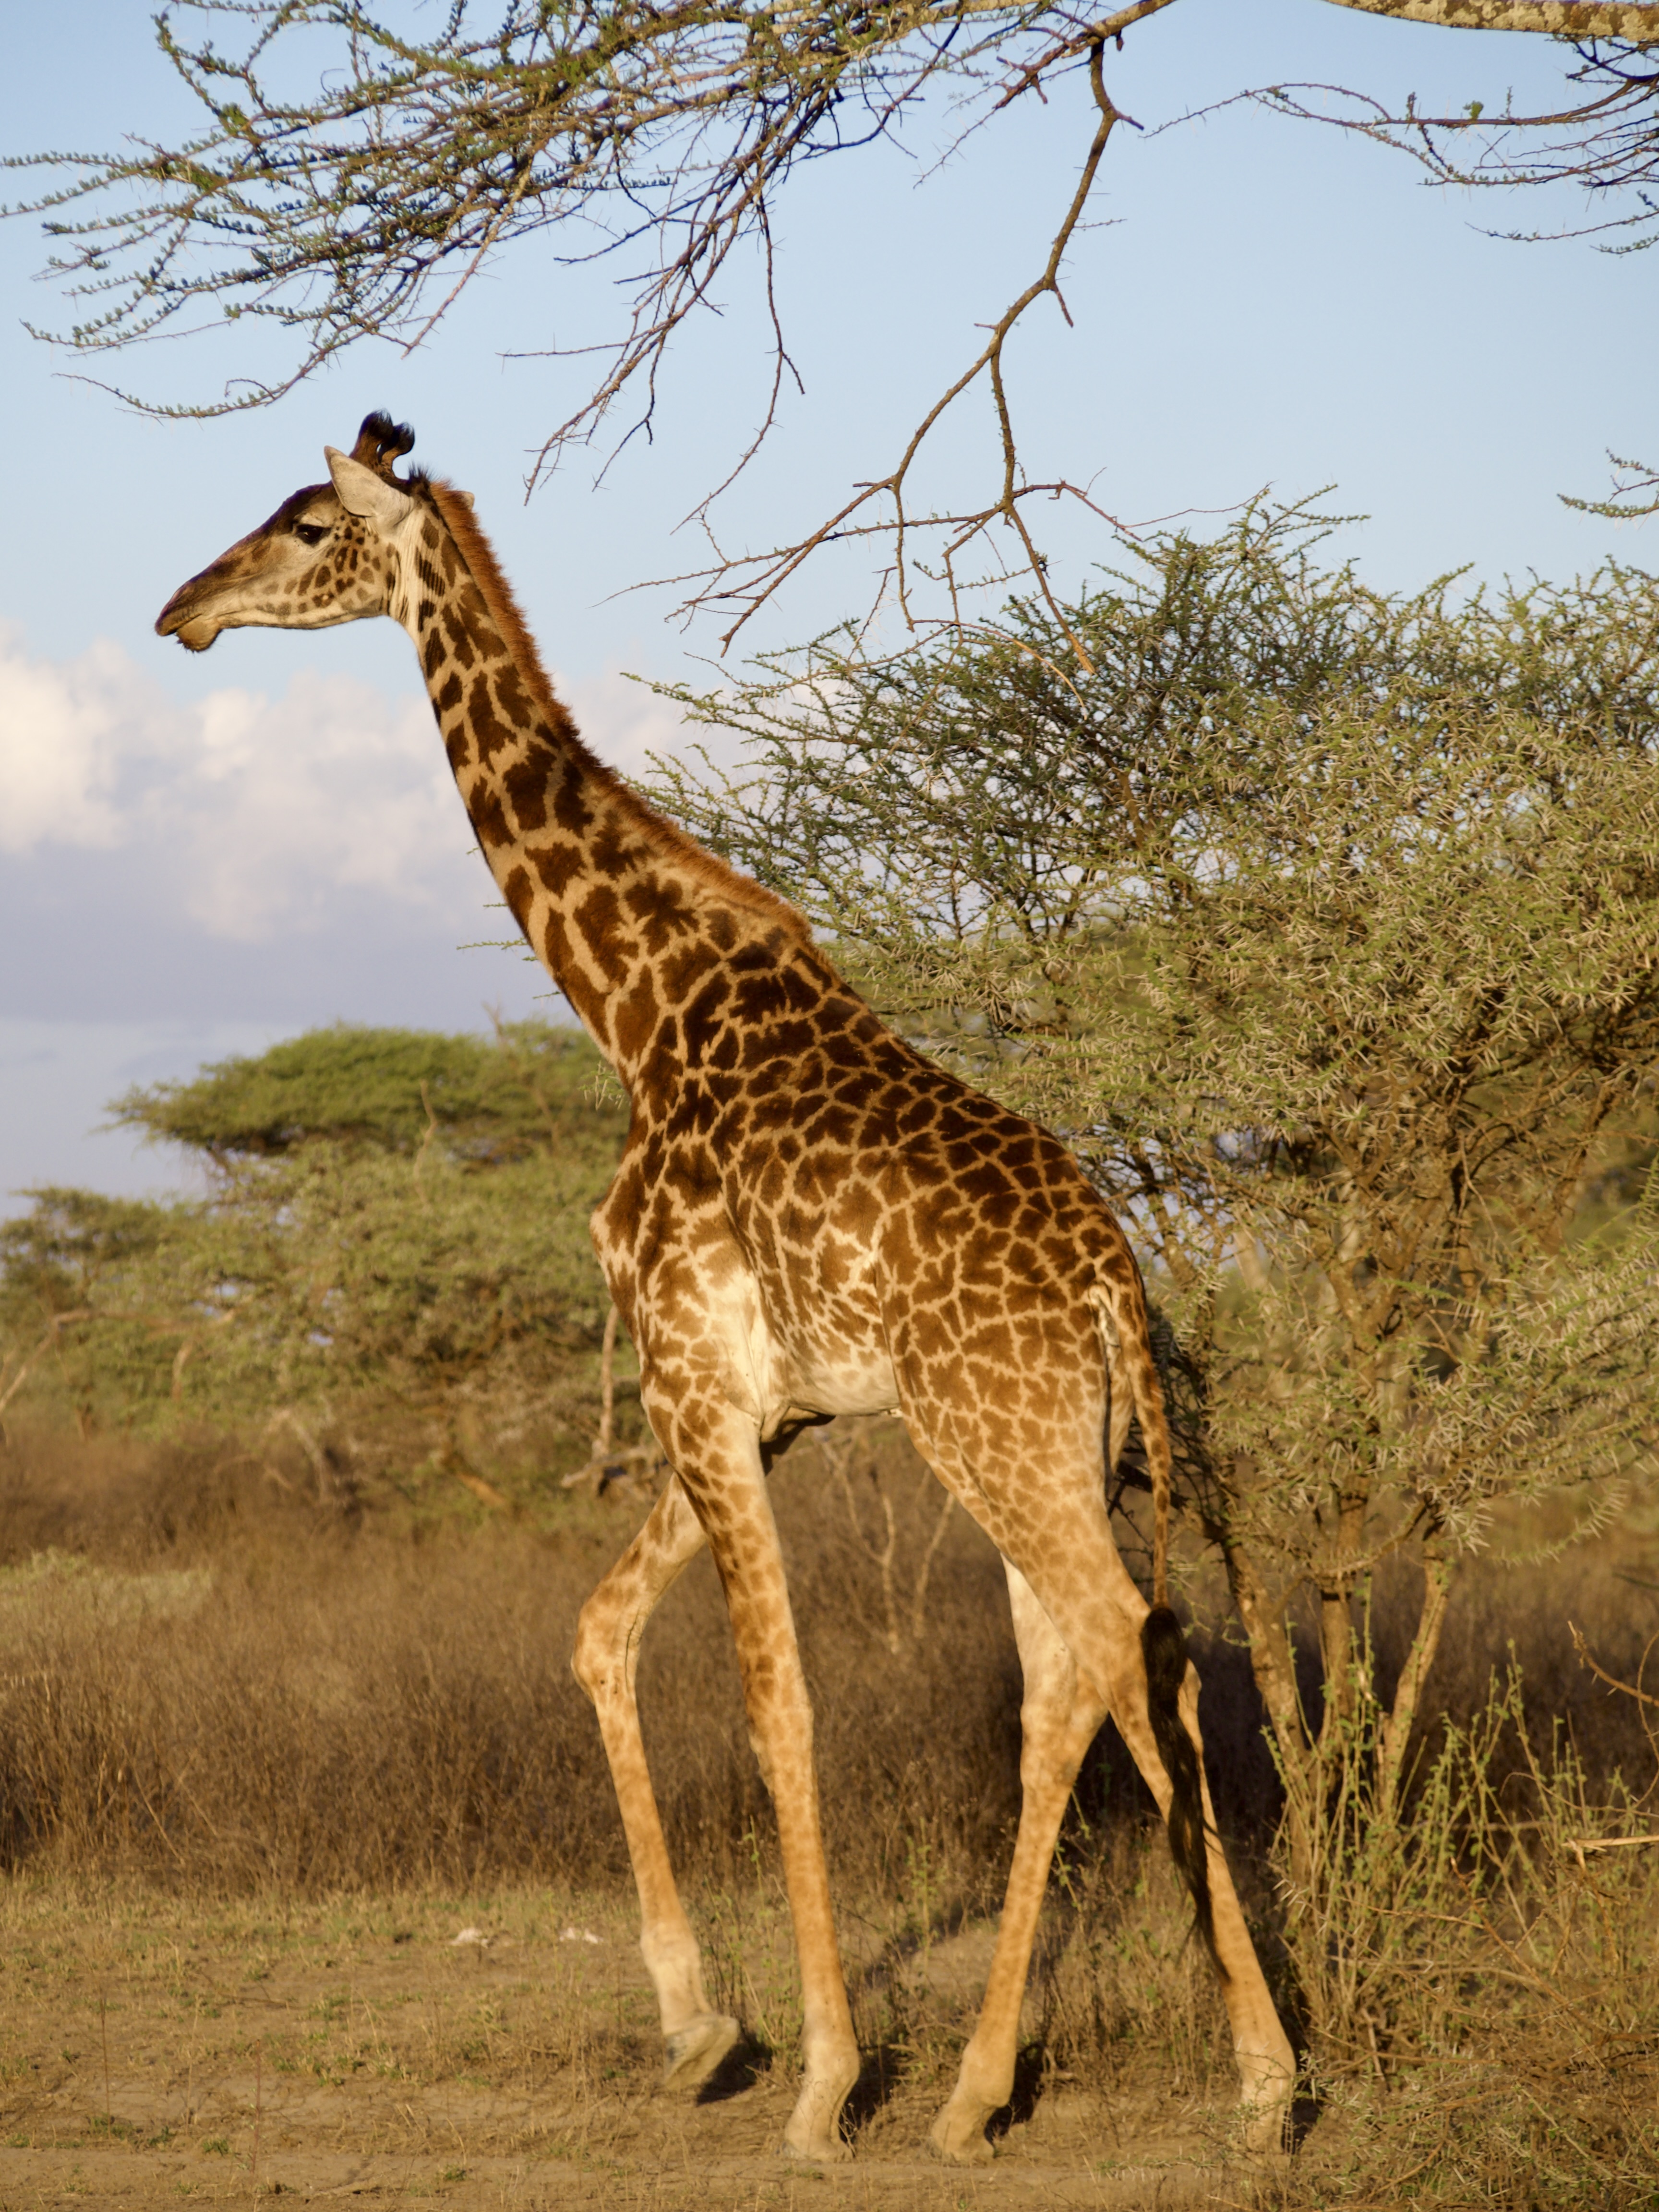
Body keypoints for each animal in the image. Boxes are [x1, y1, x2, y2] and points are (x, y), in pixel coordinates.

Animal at [156, 411, 1300, 2159]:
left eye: (299, 523)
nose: (181, 611)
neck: (635, 1002)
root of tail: (1114, 1276)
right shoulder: (765, 1412)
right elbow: (597, 1634)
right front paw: (702, 2028)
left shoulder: (690, 1372)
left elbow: (776, 1703)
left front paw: (819, 2080)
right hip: (1051, 1444)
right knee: (1067, 1677)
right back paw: (976, 2091)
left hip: (989, 1435)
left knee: (1130, 1643)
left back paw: (1258, 2079)